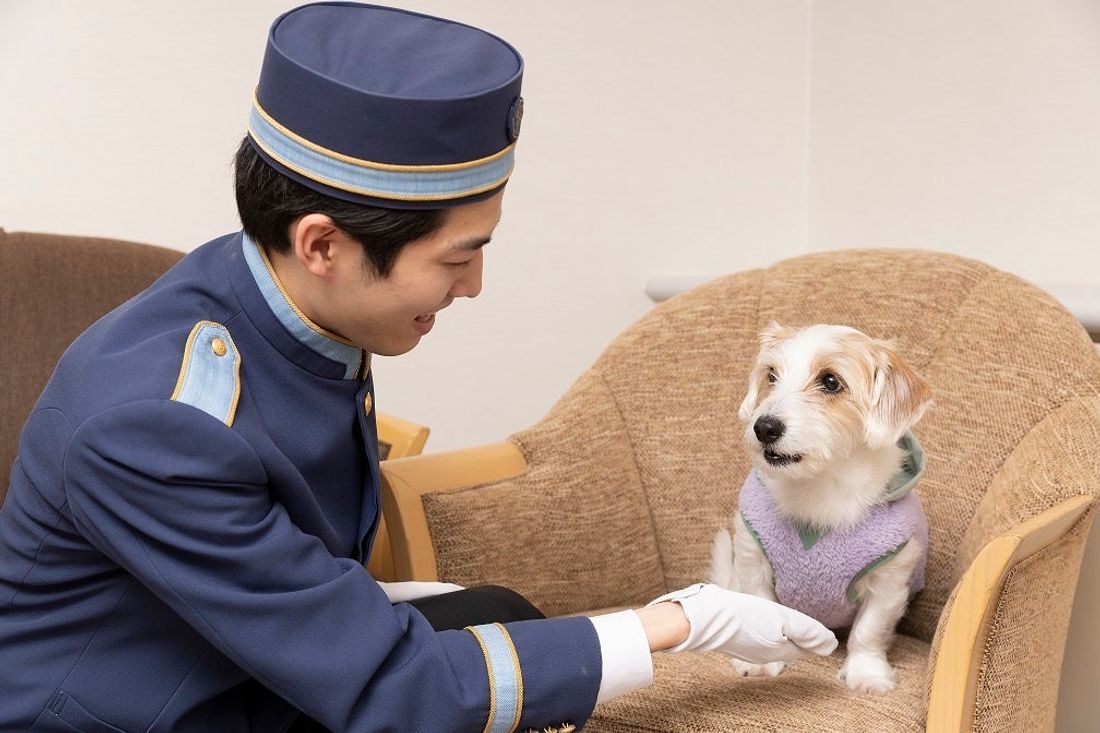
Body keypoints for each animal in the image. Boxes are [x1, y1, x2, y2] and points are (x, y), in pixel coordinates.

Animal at [708, 323, 932, 695]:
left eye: (830, 381)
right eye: (771, 375)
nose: (764, 427)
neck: (821, 485)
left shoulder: (889, 578)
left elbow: (869, 632)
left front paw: (866, 673)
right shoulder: (754, 560)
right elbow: (764, 611)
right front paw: (763, 662)